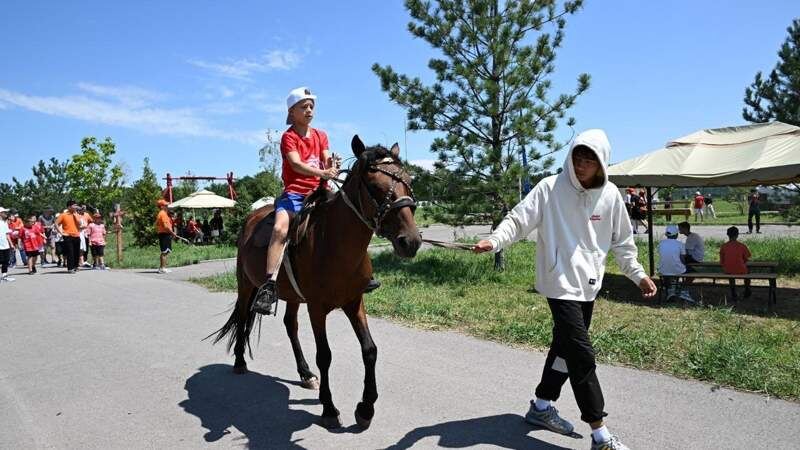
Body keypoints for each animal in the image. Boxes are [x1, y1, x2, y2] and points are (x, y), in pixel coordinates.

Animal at [209, 136, 422, 428]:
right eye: (374, 185)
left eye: (408, 180)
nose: (410, 241)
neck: (333, 241)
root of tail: (250, 220)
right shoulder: (317, 308)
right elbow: (325, 355)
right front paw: (329, 408)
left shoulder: (354, 301)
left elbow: (369, 349)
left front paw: (365, 408)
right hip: (246, 285)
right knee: (242, 317)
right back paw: (240, 362)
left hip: (292, 296)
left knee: (290, 325)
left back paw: (305, 373)